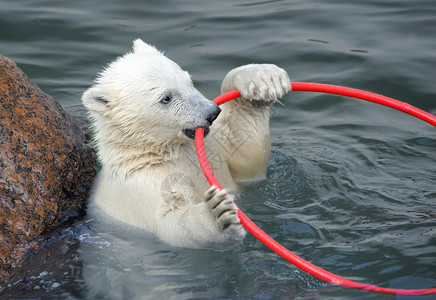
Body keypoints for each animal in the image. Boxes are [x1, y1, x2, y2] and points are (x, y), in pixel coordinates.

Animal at [83, 39, 292, 248]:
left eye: (188, 81)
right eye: (166, 98)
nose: (212, 113)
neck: (155, 152)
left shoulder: (213, 150)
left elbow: (245, 152)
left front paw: (263, 79)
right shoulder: (141, 189)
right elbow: (171, 226)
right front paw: (217, 215)